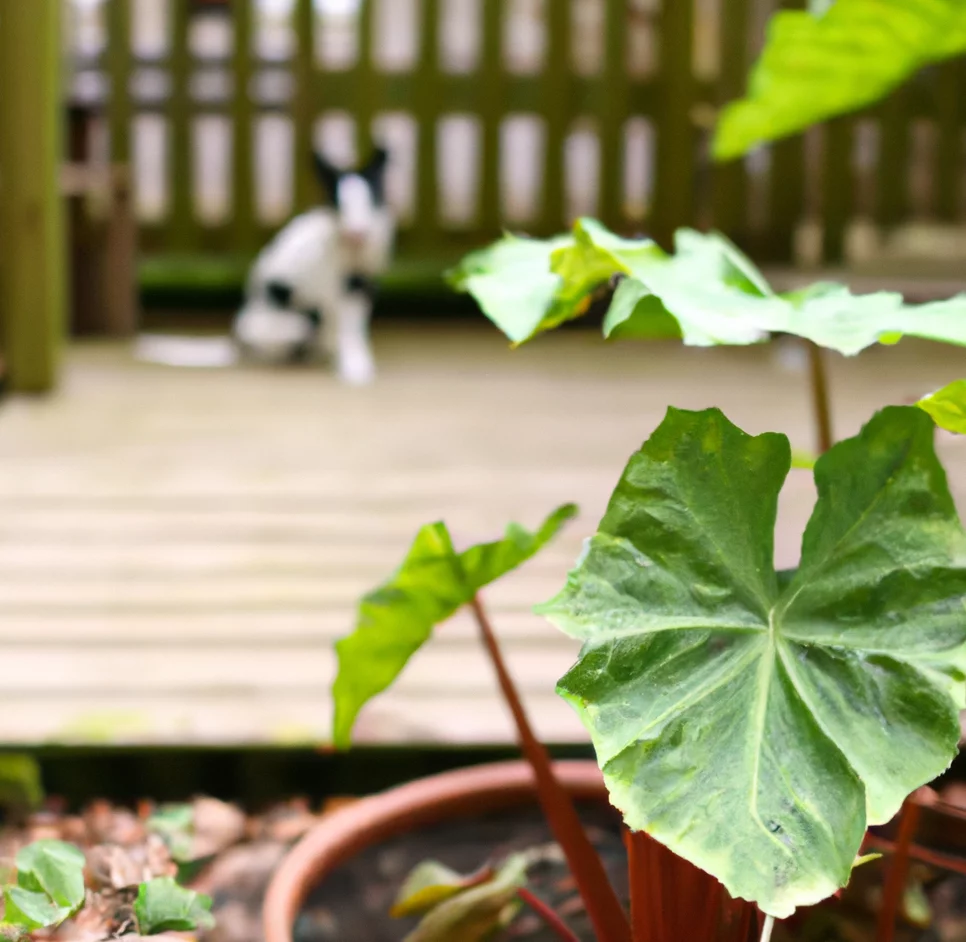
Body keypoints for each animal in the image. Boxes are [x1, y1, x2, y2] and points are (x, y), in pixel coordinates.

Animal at [234, 148, 398, 384]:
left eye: (372, 198)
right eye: (338, 203)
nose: (357, 233)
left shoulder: (362, 284)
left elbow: (356, 325)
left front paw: (357, 366)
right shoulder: (339, 290)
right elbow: (347, 327)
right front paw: (353, 371)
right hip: (288, 319)